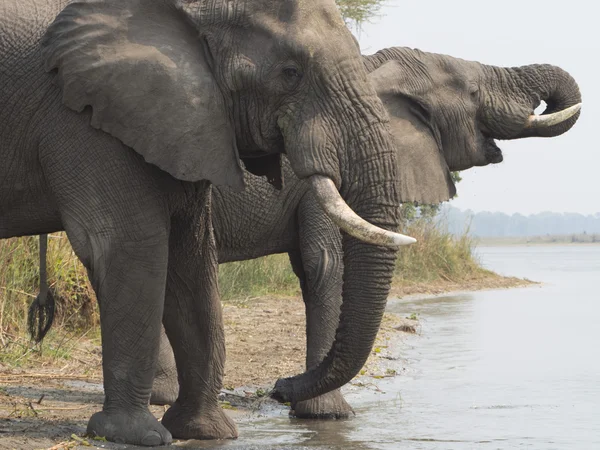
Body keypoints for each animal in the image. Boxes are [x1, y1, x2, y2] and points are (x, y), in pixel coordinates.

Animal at [0, 0, 414, 444]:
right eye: (291, 72)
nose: (280, 387)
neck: (193, 13)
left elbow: (191, 259)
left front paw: (203, 431)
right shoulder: (85, 117)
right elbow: (130, 245)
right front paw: (135, 435)